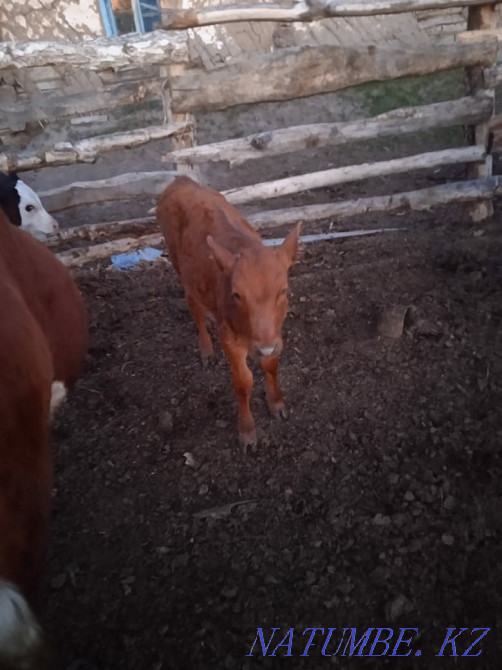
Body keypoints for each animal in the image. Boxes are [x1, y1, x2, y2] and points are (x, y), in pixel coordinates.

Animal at [157, 176, 301, 448]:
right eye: (236, 294)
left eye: (284, 291)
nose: (264, 347)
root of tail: (181, 180)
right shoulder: (231, 338)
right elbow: (243, 382)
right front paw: (247, 431)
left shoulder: (273, 336)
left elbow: (271, 364)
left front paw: (276, 403)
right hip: (180, 267)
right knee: (195, 308)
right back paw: (206, 348)